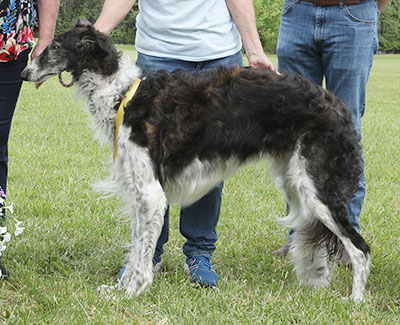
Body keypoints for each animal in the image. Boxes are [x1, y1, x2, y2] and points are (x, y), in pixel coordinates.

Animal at [20, 21, 370, 302]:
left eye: (53, 46)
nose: (24, 72)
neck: (122, 95)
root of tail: (337, 106)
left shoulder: (151, 194)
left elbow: (141, 257)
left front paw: (131, 292)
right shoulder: (139, 192)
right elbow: (135, 249)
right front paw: (119, 288)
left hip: (319, 190)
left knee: (360, 249)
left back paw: (355, 301)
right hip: (296, 182)